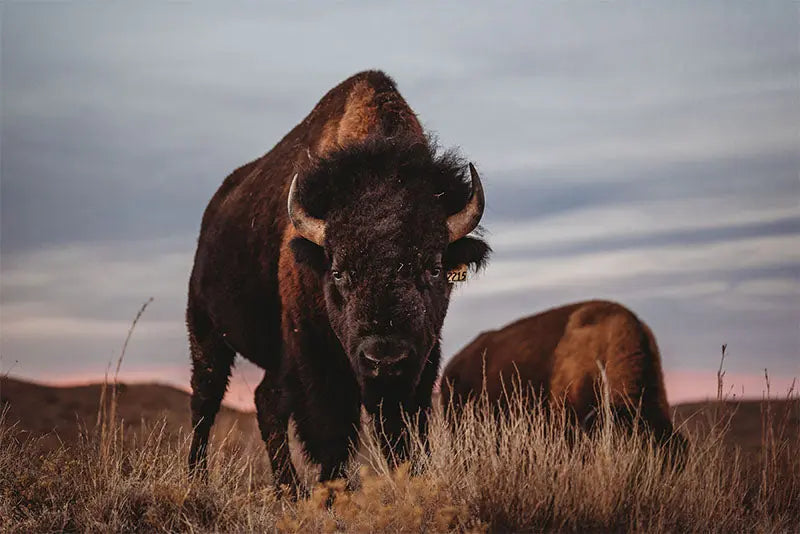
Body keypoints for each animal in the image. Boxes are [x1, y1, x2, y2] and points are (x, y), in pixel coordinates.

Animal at [187, 71, 490, 491]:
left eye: (432, 267)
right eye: (338, 271)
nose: (384, 358)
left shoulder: (422, 361)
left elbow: (401, 434)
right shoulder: (317, 359)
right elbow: (332, 435)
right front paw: (334, 494)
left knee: (266, 401)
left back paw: (290, 490)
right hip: (206, 330)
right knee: (206, 399)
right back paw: (197, 478)